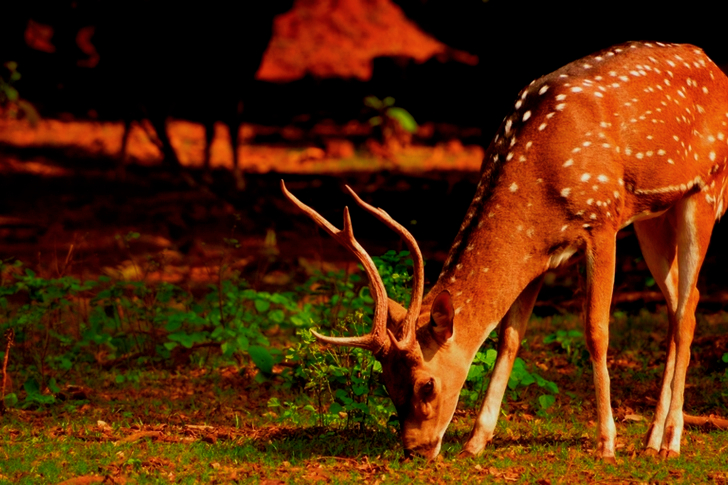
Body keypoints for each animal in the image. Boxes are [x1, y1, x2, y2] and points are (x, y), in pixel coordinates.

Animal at [281, 41, 728, 461]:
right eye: (386, 382)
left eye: (427, 385)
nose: (415, 449)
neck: (539, 185)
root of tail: (714, 65)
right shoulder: (542, 254)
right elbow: (509, 337)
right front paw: (476, 441)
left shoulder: (602, 221)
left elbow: (596, 331)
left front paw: (606, 443)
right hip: (654, 215)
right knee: (681, 304)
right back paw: (651, 439)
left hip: (706, 189)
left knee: (687, 313)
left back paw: (671, 441)